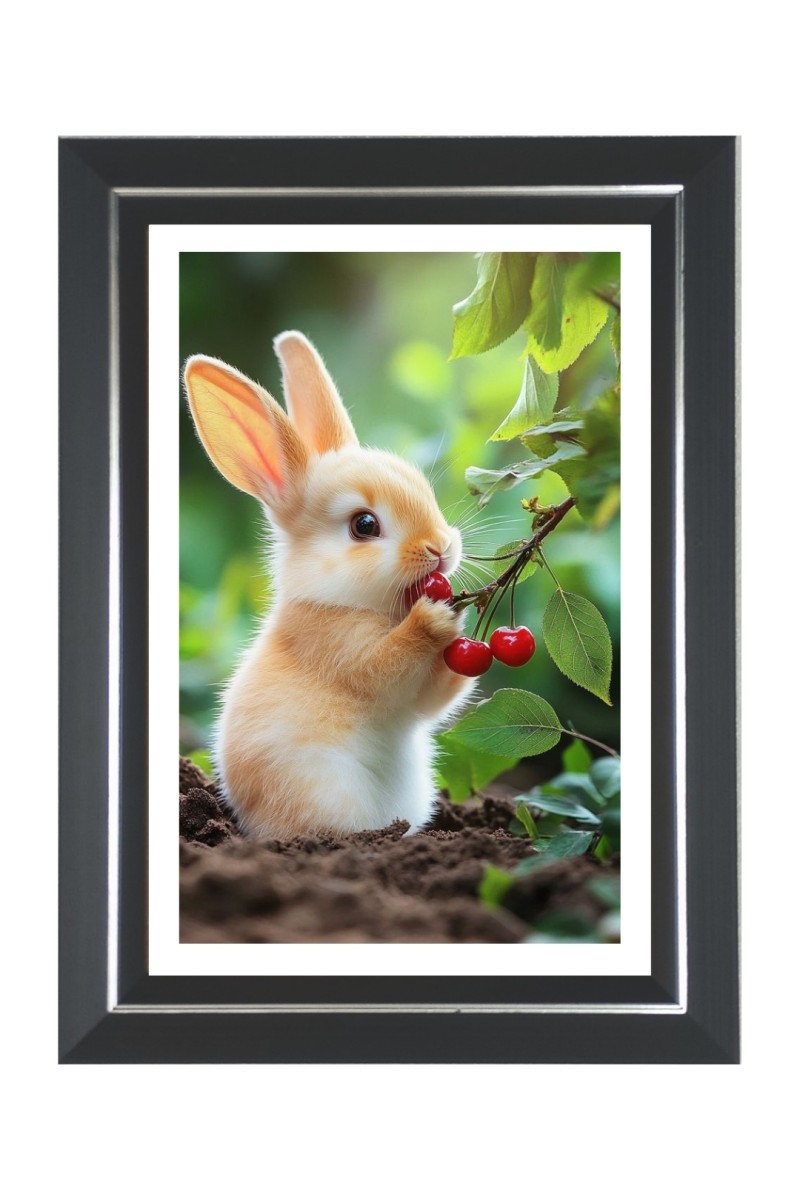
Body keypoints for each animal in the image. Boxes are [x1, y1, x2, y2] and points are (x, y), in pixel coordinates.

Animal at [183, 331, 477, 839]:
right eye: (364, 525)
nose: (440, 547)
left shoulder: (420, 698)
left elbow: (436, 697)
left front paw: (469, 624)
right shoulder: (345, 651)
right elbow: (387, 665)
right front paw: (434, 620)